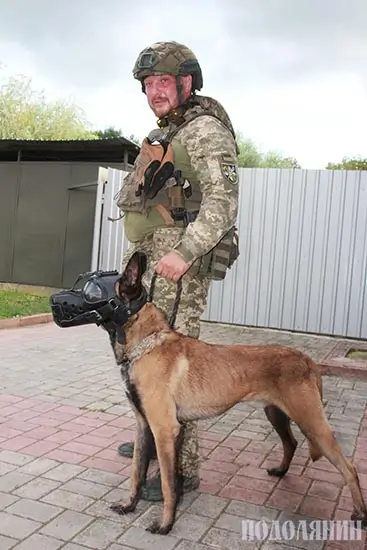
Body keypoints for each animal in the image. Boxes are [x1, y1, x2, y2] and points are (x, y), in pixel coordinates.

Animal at [105, 252, 366, 536]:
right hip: (277, 414)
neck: (147, 344)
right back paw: (281, 470)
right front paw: (129, 505)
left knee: (349, 468)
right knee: (291, 442)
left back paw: (360, 514)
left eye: (89, 286)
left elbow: (167, 484)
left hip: (313, 424)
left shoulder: (164, 430)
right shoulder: (143, 426)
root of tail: (307, 359)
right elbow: (135, 471)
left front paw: (166, 524)